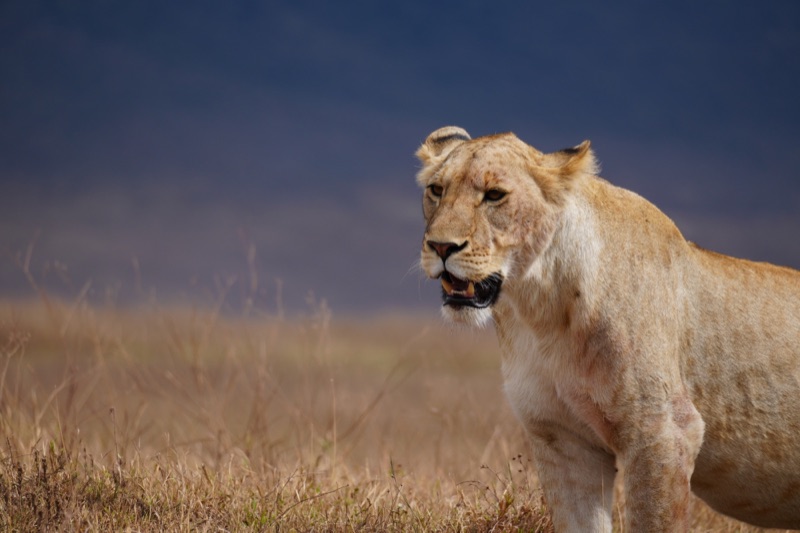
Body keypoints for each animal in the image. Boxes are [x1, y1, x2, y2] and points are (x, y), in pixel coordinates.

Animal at [415, 126, 800, 531]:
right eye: (436, 190)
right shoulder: (562, 439)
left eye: (494, 195)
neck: (539, 311)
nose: (440, 246)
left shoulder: (663, 432)